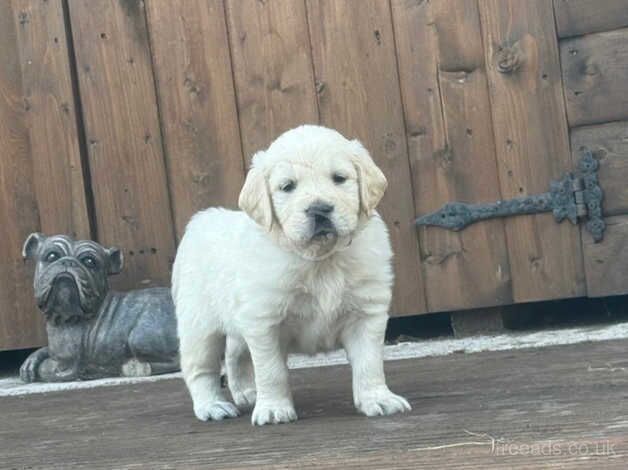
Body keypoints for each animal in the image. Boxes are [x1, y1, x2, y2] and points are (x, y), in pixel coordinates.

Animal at [172, 125, 410, 426]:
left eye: (339, 178)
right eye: (287, 186)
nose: (319, 209)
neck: (320, 260)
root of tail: (200, 219)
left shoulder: (366, 313)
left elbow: (370, 363)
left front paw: (378, 399)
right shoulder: (264, 321)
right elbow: (271, 371)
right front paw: (273, 408)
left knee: (236, 355)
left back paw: (248, 393)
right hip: (199, 326)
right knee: (200, 369)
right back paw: (212, 405)